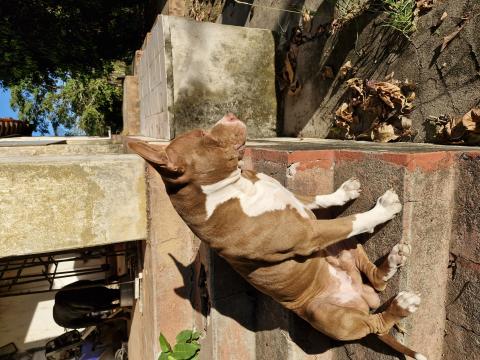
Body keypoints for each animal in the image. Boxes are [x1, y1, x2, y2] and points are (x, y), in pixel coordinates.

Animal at [129, 113, 426, 360]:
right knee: (374, 324)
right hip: (325, 313)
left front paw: (345, 192)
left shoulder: (298, 203)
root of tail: (360, 300)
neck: (231, 190)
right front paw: (384, 209)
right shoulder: (309, 233)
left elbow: (319, 198)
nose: (230, 114)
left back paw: (393, 261)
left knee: (376, 280)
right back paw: (400, 306)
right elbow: (352, 220)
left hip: (343, 248)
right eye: (203, 135)